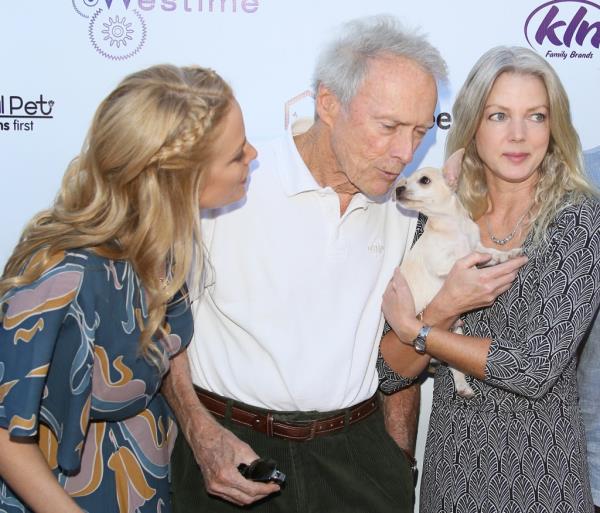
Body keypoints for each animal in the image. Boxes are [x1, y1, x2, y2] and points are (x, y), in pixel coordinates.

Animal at [394, 148, 520, 396]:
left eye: (424, 180)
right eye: (405, 181)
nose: (398, 189)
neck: (453, 226)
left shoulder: (478, 246)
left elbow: (490, 252)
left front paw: (506, 255)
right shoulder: (442, 263)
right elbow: (463, 261)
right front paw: (477, 268)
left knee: (454, 364)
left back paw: (463, 387)